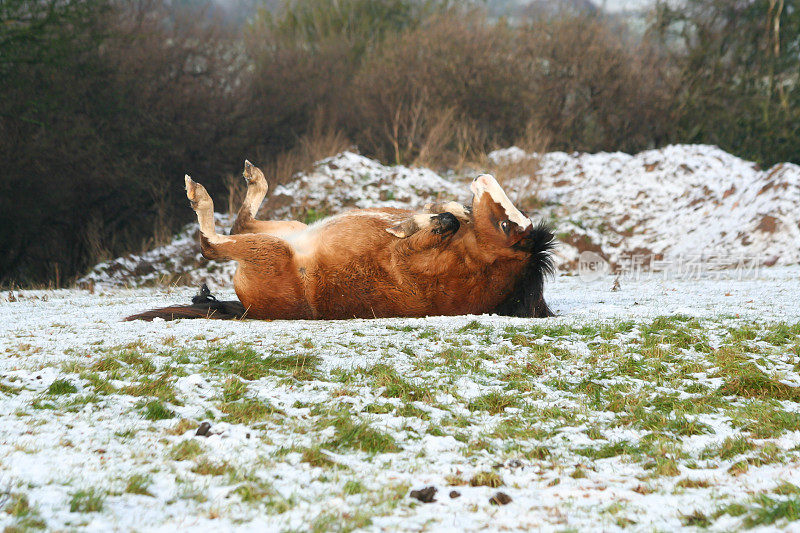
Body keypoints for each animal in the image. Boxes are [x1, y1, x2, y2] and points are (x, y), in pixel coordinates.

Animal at [130, 160, 556, 320]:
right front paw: (438, 211)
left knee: (212, 243)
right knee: (239, 222)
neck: (471, 264)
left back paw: (198, 194)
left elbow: (441, 224)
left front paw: (416, 222)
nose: (483, 178)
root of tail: (251, 308)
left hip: (272, 249)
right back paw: (253, 177)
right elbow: (451, 215)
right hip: (290, 228)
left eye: (505, 228)